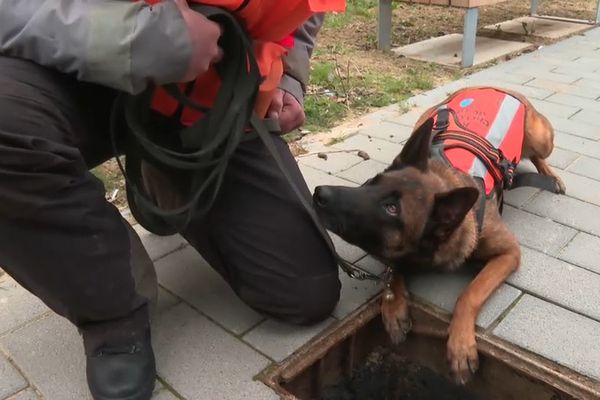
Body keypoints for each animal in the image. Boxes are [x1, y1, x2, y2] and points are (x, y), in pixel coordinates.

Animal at [314, 86, 568, 384]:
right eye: (372, 182)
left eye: (391, 208)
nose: (319, 193)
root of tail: (495, 87)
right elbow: (393, 271)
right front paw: (393, 305)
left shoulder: (508, 253)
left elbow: (469, 293)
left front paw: (460, 345)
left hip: (540, 139)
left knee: (539, 156)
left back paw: (550, 176)